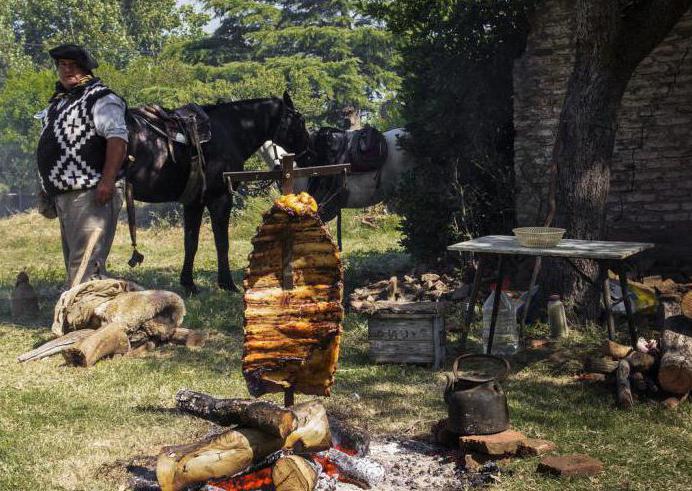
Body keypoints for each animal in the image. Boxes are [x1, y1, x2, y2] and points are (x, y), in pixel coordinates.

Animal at [126, 92, 310, 294]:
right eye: (300, 119)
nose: (308, 153)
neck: (229, 131)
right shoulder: (220, 198)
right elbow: (222, 242)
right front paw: (227, 283)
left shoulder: (194, 202)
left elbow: (191, 242)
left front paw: (189, 284)